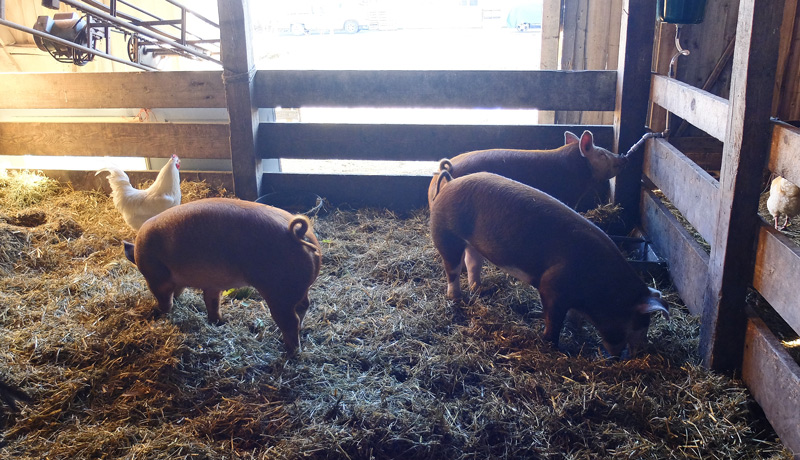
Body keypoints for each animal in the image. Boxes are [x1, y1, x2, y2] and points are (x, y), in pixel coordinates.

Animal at [123, 198, 322, 355]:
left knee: (290, 321)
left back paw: (290, 351)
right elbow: (211, 302)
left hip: (279, 294)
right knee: (304, 306)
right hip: (300, 289)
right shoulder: (212, 285)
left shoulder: (157, 278)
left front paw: (160, 313)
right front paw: (216, 322)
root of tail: (297, 233)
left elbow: (166, 298)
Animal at [429, 172, 669, 357]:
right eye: (636, 324)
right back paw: (456, 297)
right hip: (445, 234)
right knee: (452, 268)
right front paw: (552, 346)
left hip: (473, 244)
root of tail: (450, 183)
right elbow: (553, 320)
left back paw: (479, 289)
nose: (630, 355)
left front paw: (576, 328)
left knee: (472, 262)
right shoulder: (552, 286)